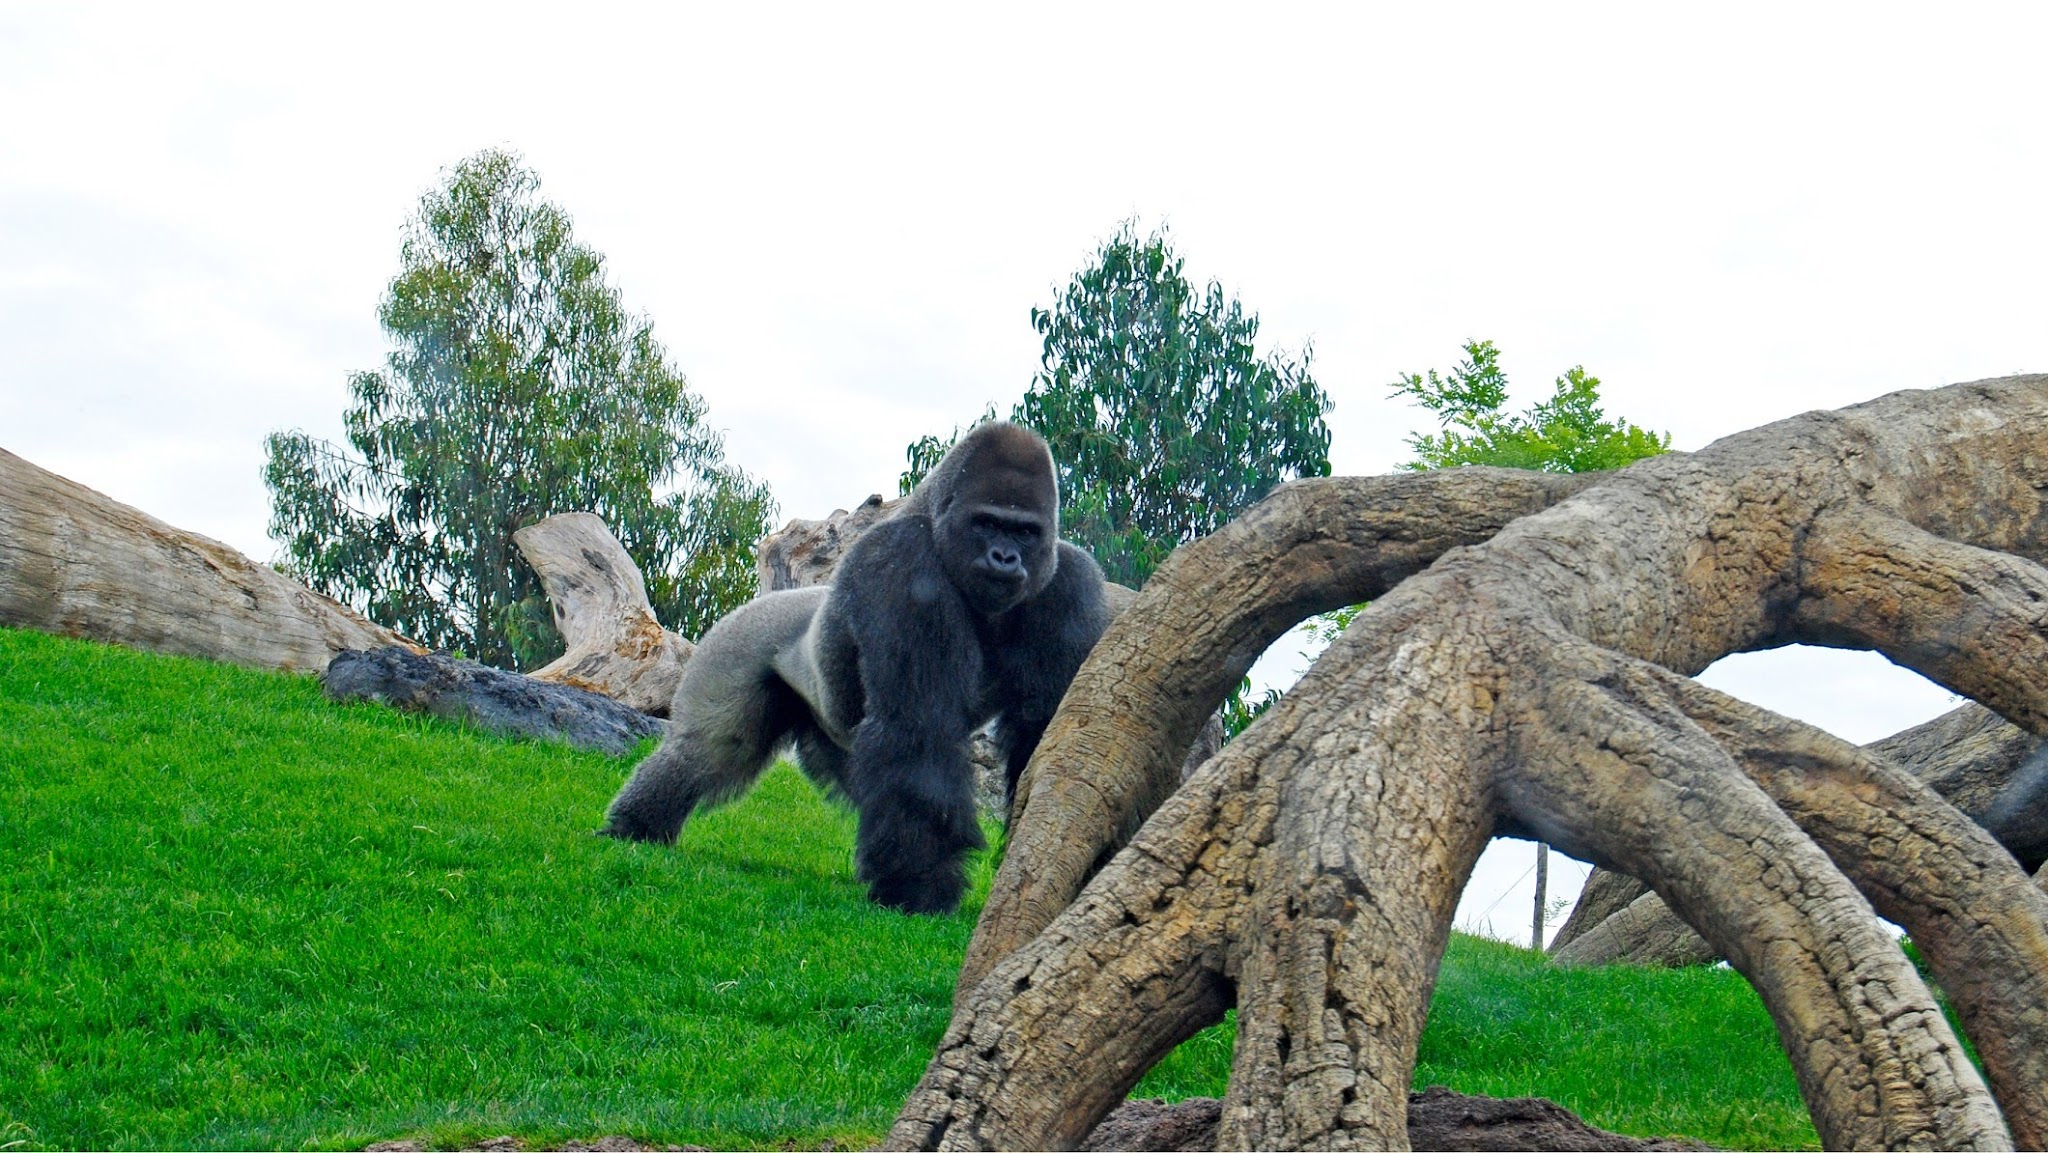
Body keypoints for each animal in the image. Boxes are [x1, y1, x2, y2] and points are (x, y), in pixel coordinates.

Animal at [598, 419, 1114, 917]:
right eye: (987, 524)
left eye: (1025, 532)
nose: (1004, 558)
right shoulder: (901, 560)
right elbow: (916, 727)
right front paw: (920, 890)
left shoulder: (1071, 582)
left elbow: (1052, 732)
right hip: (735, 643)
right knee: (710, 750)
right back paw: (635, 825)